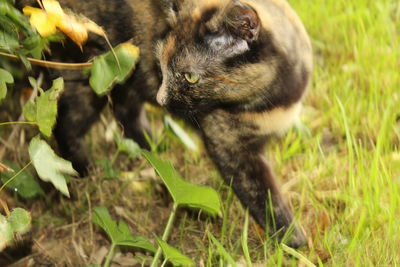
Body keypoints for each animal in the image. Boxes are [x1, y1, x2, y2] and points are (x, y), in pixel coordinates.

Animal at [17, 0, 312, 249]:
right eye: (161, 68)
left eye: (190, 77)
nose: (161, 98)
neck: (272, 100)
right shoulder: (232, 149)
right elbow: (264, 197)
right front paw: (295, 242)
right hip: (86, 77)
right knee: (67, 125)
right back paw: (81, 173)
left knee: (126, 111)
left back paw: (150, 152)